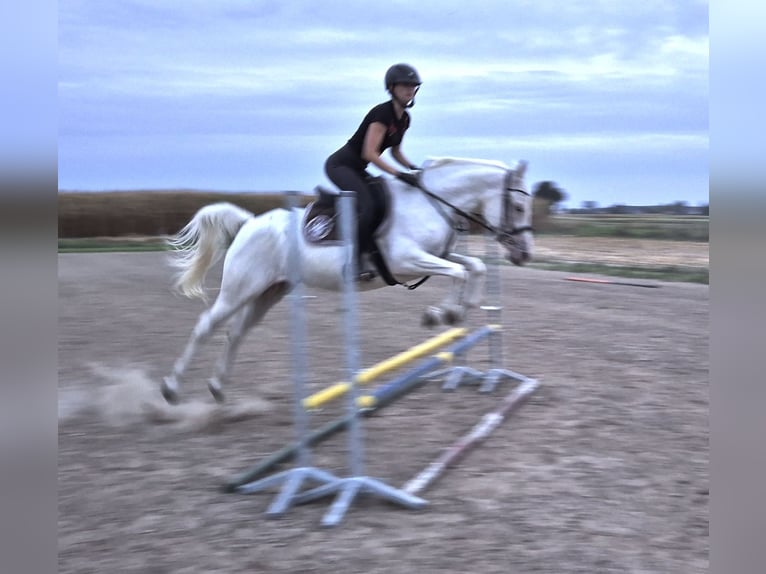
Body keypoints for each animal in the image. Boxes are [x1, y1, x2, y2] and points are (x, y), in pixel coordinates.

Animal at [162, 155, 536, 402]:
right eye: (518, 208)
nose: (525, 254)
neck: (431, 204)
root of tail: (249, 223)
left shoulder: (437, 256)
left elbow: (474, 267)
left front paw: (459, 310)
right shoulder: (406, 260)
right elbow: (459, 272)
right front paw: (442, 314)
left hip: (269, 292)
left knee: (236, 332)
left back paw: (217, 387)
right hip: (240, 289)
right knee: (206, 325)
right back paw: (171, 388)